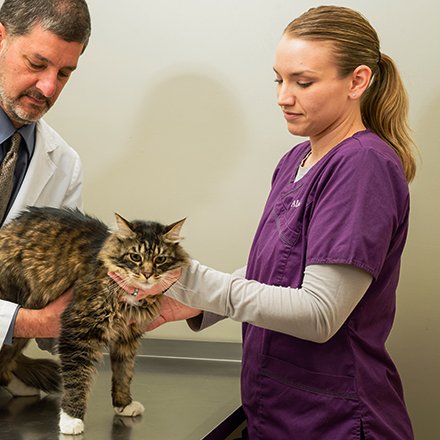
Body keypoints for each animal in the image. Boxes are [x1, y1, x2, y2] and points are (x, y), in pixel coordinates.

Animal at [0, 208, 187, 434]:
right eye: (135, 257)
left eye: (160, 259)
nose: (147, 274)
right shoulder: (78, 330)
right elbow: (76, 379)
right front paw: (71, 419)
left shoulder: (128, 335)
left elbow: (124, 372)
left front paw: (124, 404)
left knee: (6, 365)